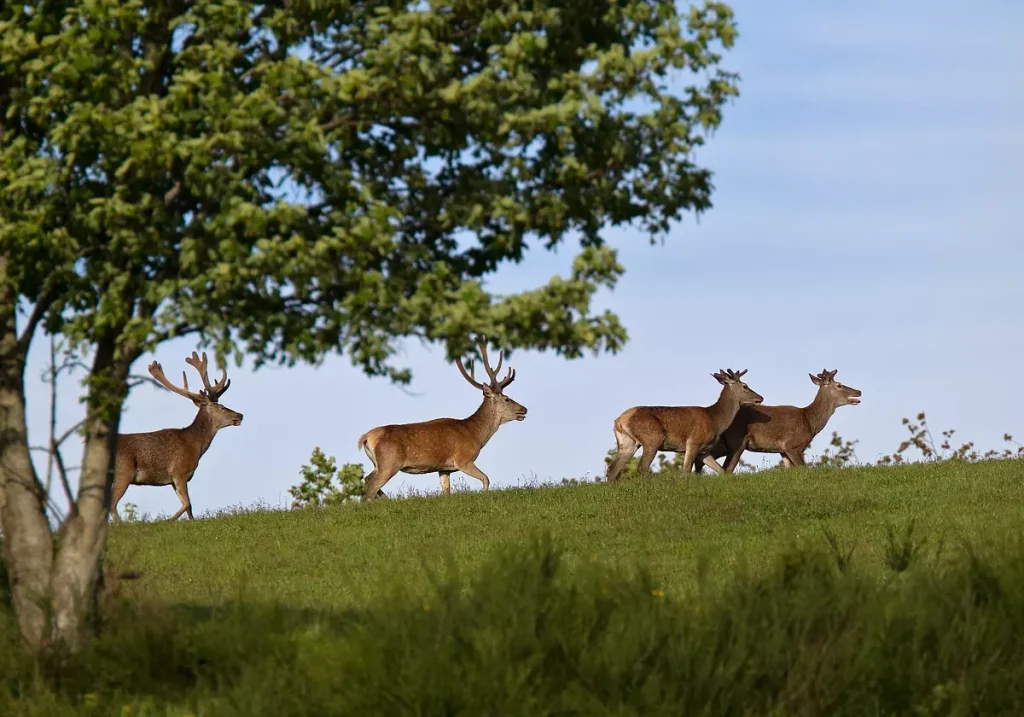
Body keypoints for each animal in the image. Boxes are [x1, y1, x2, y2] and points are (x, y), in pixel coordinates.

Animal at [110, 348, 243, 520]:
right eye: (220, 406)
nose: (240, 415)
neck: (195, 446)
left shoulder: (174, 480)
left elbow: (189, 507)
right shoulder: (180, 471)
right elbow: (187, 503)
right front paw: (167, 521)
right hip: (123, 472)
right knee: (112, 505)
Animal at [354, 342, 528, 501]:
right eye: (506, 399)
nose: (524, 409)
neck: (476, 435)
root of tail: (366, 437)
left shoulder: (444, 469)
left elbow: (446, 491)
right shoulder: (463, 459)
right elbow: (486, 478)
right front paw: (484, 496)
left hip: (377, 463)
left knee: (368, 481)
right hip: (389, 462)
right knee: (371, 485)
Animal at [602, 368, 765, 481]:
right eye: (745, 386)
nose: (760, 397)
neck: (715, 420)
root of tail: (620, 420)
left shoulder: (704, 450)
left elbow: (721, 470)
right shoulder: (694, 441)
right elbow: (685, 471)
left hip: (627, 442)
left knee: (612, 469)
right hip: (652, 437)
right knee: (641, 467)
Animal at [696, 368, 864, 471]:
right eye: (839, 385)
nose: (859, 391)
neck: (810, 421)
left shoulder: (782, 451)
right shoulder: (792, 445)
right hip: (737, 441)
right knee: (725, 468)